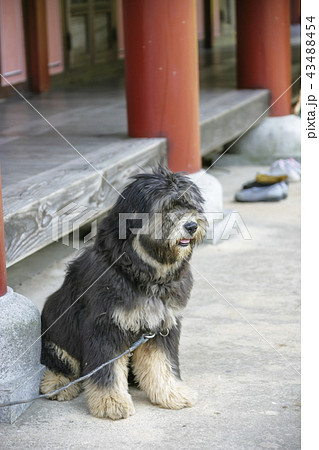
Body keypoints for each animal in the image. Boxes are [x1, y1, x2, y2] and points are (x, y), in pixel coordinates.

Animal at [40, 167, 208, 420]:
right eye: (166, 208)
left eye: (190, 205)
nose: (191, 226)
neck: (138, 270)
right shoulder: (105, 326)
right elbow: (107, 370)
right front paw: (111, 402)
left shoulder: (160, 326)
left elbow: (162, 363)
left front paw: (171, 392)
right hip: (55, 331)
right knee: (60, 363)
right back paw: (58, 384)